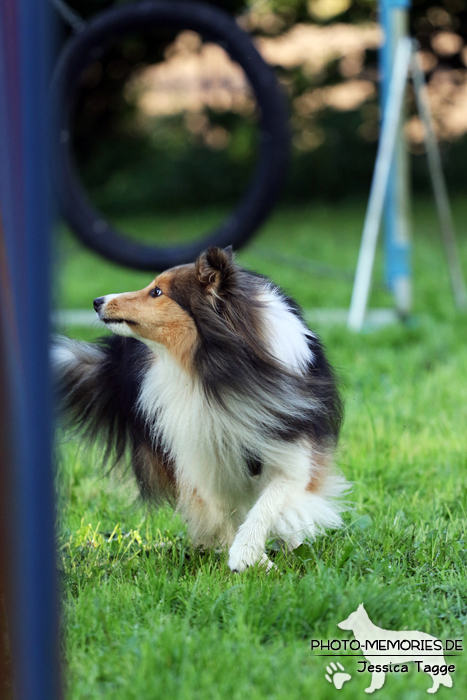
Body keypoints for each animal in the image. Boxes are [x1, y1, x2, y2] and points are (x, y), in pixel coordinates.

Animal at [53, 246, 350, 568]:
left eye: (157, 292)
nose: (97, 302)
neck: (217, 377)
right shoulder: (199, 463)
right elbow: (221, 515)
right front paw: (254, 560)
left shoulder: (294, 454)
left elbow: (270, 501)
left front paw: (247, 554)